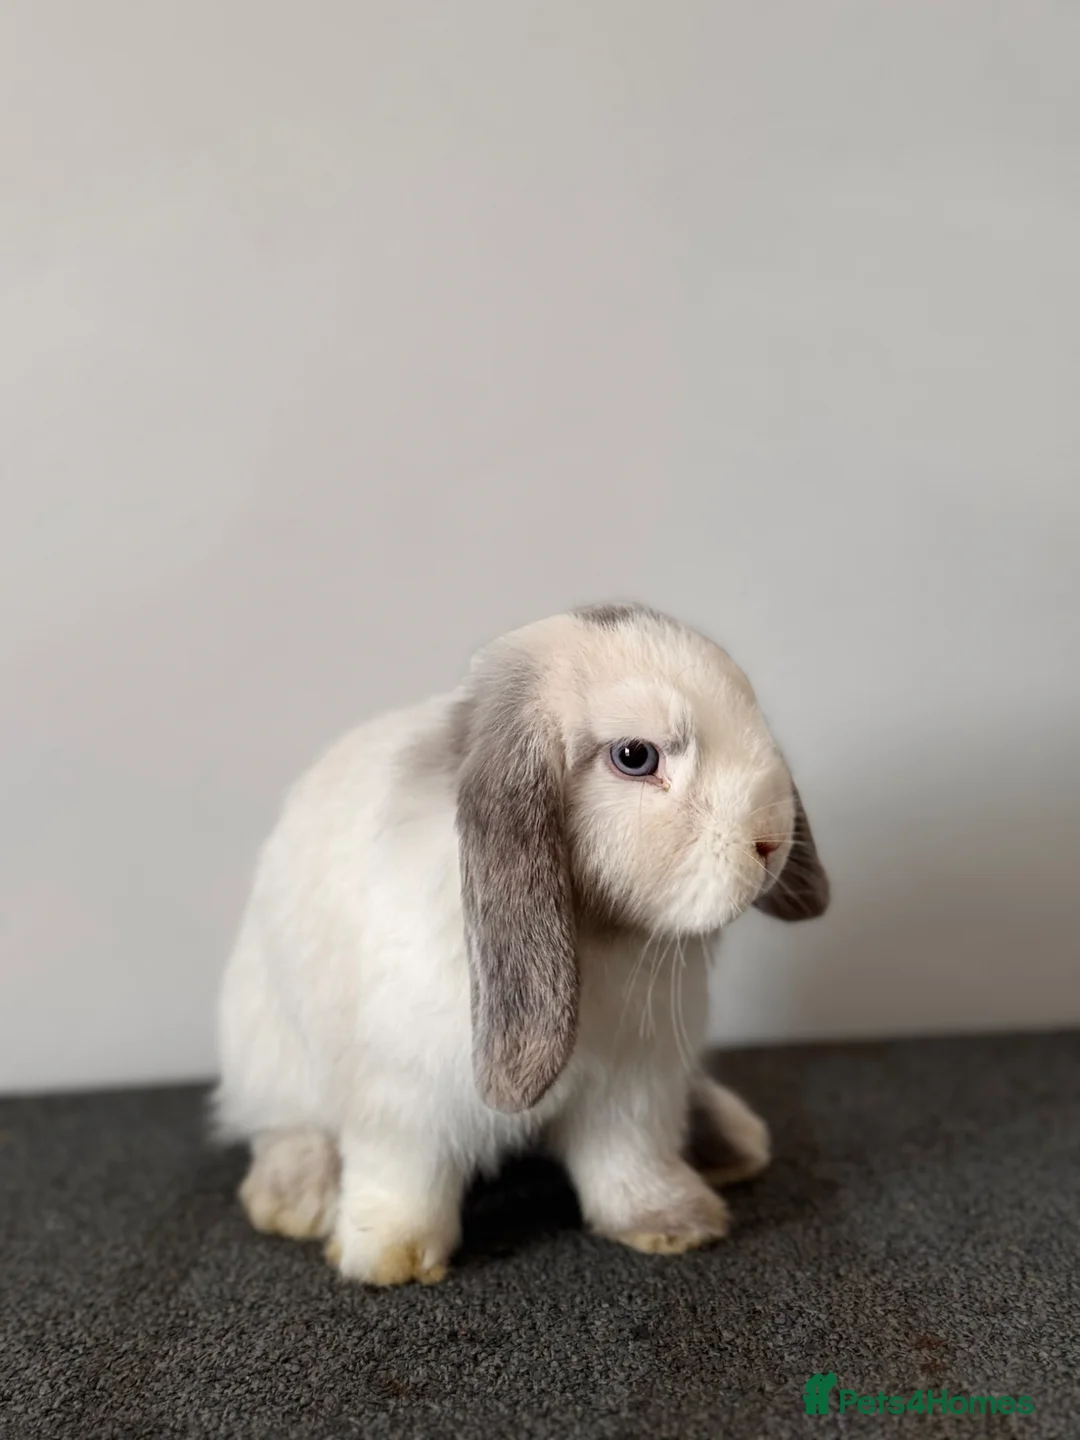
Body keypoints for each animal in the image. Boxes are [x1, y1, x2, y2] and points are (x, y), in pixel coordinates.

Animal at [213, 602, 829, 1285]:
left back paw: (733, 1141)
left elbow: (630, 1162)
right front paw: (390, 1258)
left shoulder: (634, 1089)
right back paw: (295, 1196)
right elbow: (403, 1176)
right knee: (282, 1126)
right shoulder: (403, 1098)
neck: (597, 935)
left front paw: (673, 1223)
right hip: (267, 1058)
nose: (770, 842)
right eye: (635, 756)